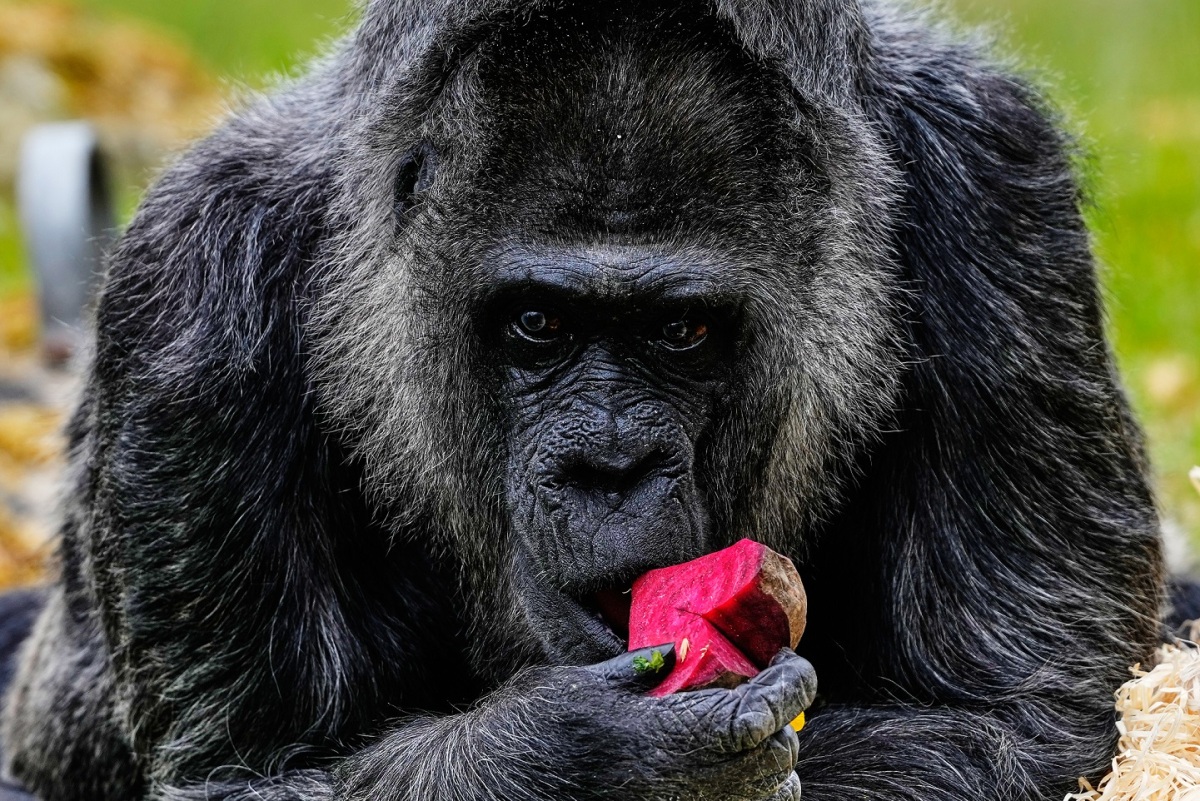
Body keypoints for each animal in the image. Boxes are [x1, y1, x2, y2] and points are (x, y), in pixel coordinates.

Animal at [0, 0, 1164, 799]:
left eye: (682, 330)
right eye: (538, 325)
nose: (609, 465)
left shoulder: (999, 189)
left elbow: (1018, 724)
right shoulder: (191, 283)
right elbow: (248, 775)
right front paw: (581, 761)